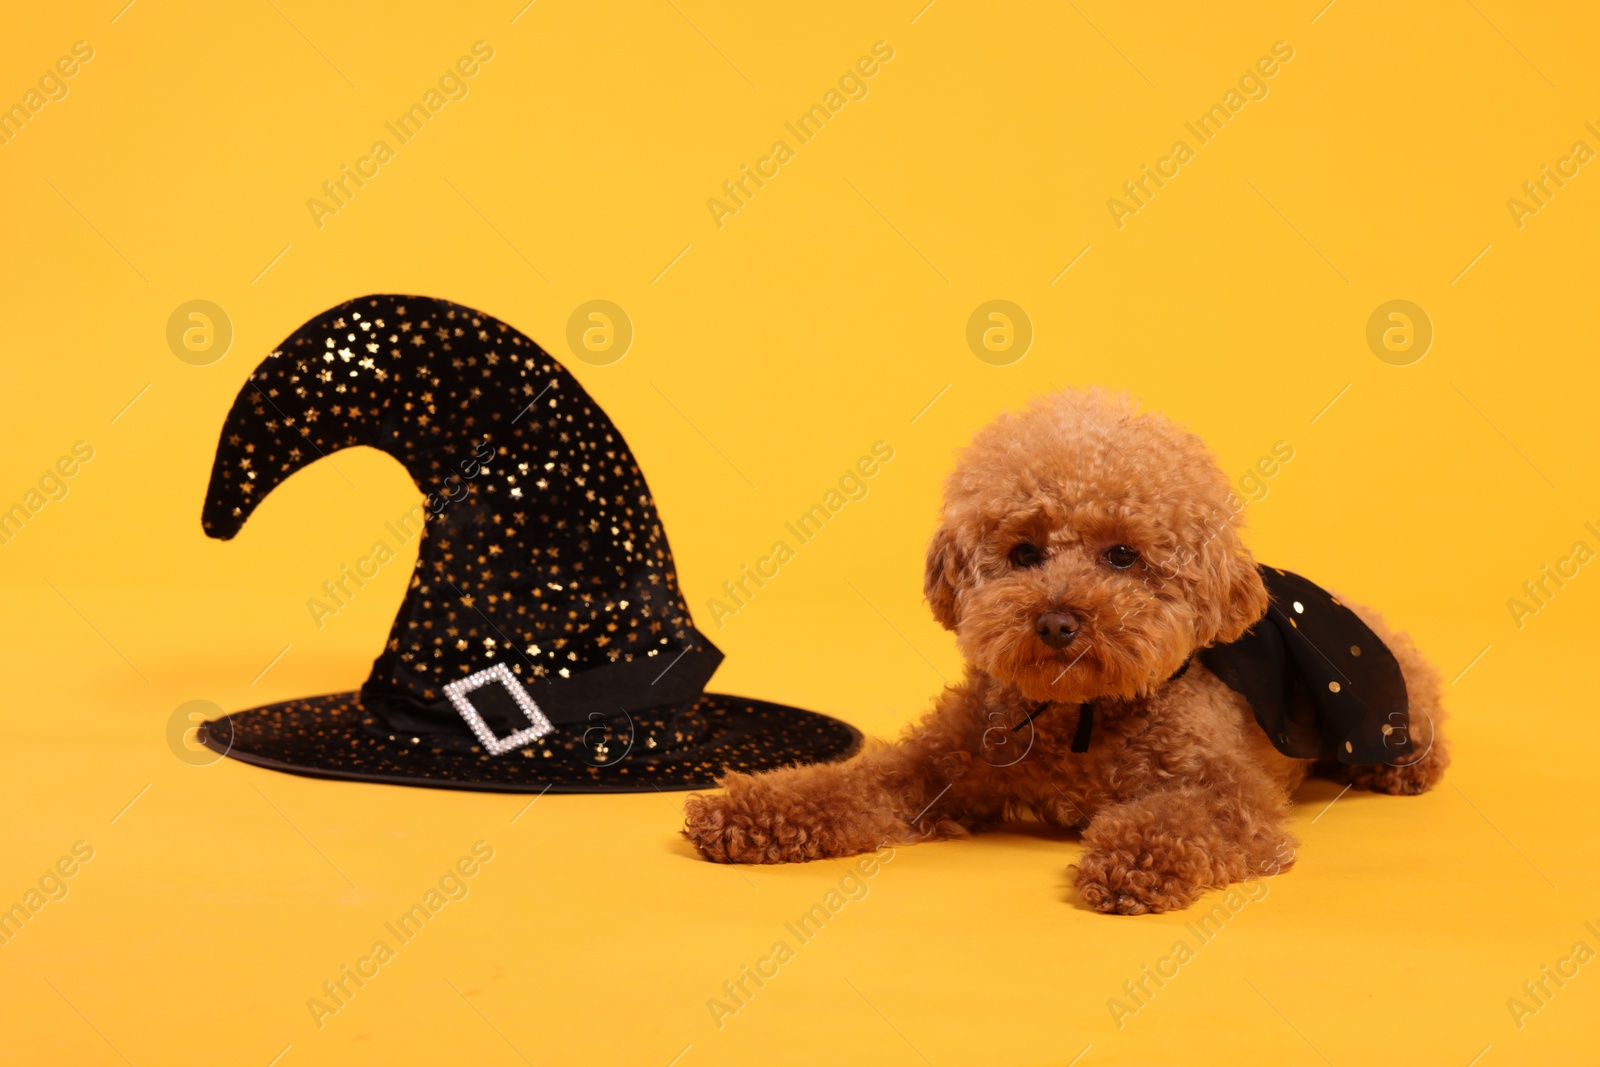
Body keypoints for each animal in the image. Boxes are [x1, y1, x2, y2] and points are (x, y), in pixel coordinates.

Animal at [678, 388, 1452, 915]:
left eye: (1122, 555)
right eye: (1024, 552)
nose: (1056, 622)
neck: (1079, 714)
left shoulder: (1228, 792)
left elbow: (1179, 818)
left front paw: (1132, 861)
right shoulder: (937, 766)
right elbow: (847, 785)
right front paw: (745, 810)